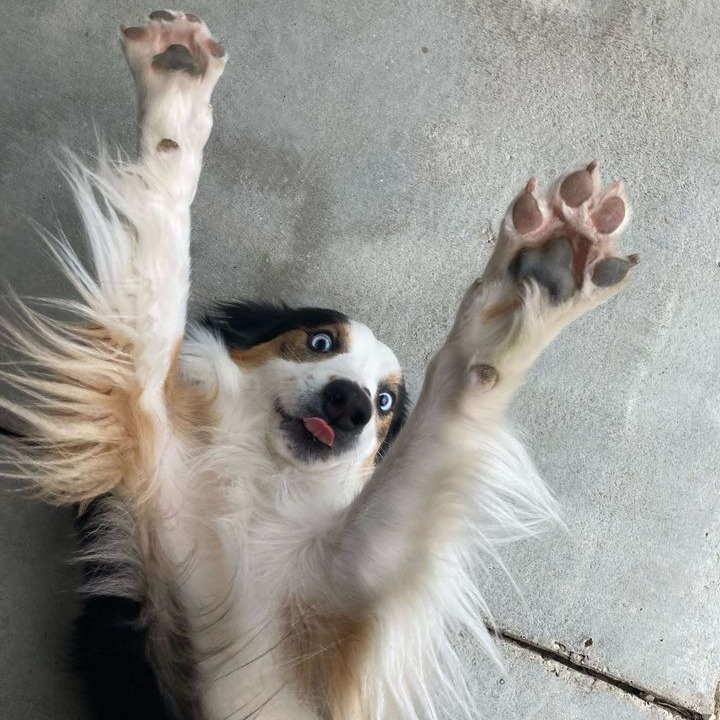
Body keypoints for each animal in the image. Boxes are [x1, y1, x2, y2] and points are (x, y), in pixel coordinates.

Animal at [0, 11, 640, 720]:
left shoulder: (344, 585)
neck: (260, 482)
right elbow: (163, 262)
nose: (350, 404)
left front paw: (528, 289)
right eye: (321, 343)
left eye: (385, 404)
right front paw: (176, 96)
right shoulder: (144, 429)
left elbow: (444, 419)